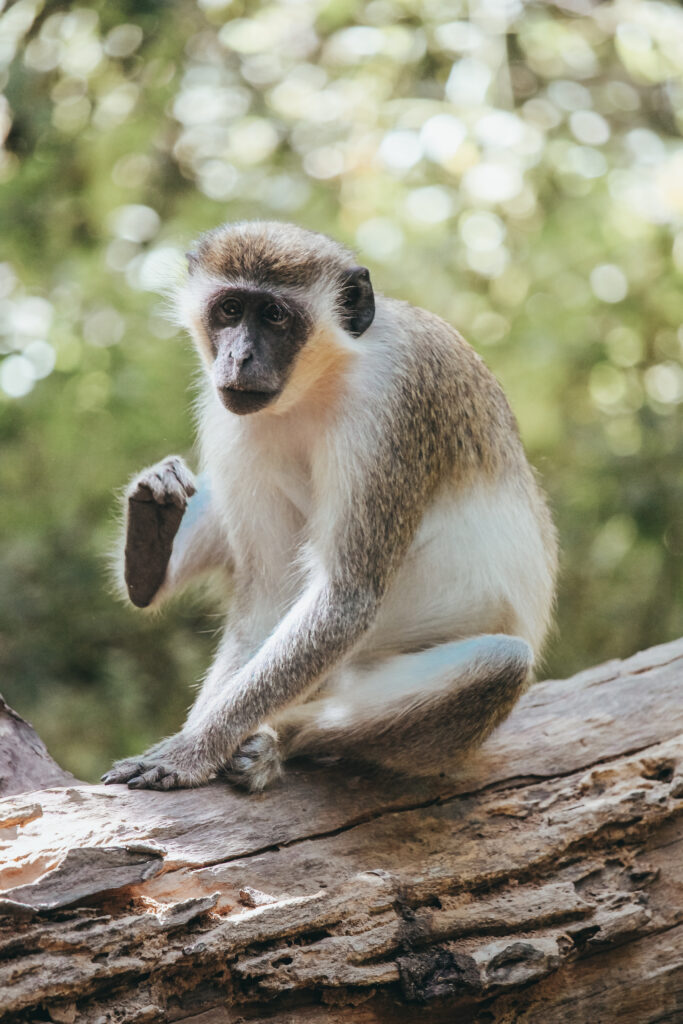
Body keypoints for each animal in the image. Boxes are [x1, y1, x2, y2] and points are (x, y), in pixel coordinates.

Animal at [102, 220, 557, 793]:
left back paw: (281, 739)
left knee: (501, 663)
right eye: (229, 309)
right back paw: (150, 541)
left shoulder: (390, 407)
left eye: (274, 315)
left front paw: (195, 748)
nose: (238, 358)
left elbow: (347, 597)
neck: (319, 380)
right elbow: (271, 592)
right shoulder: (233, 418)